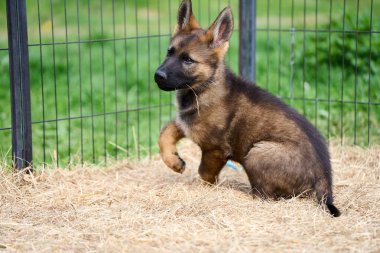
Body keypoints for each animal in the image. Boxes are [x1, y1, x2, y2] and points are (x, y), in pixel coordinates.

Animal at [154, 0, 342, 217]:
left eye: (188, 60)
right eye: (169, 52)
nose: (158, 75)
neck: (204, 86)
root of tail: (325, 185)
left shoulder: (215, 149)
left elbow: (205, 174)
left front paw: (204, 190)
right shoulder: (186, 122)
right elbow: (164, 133)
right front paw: (174, 162)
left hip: (257, 153)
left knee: (266, 197)